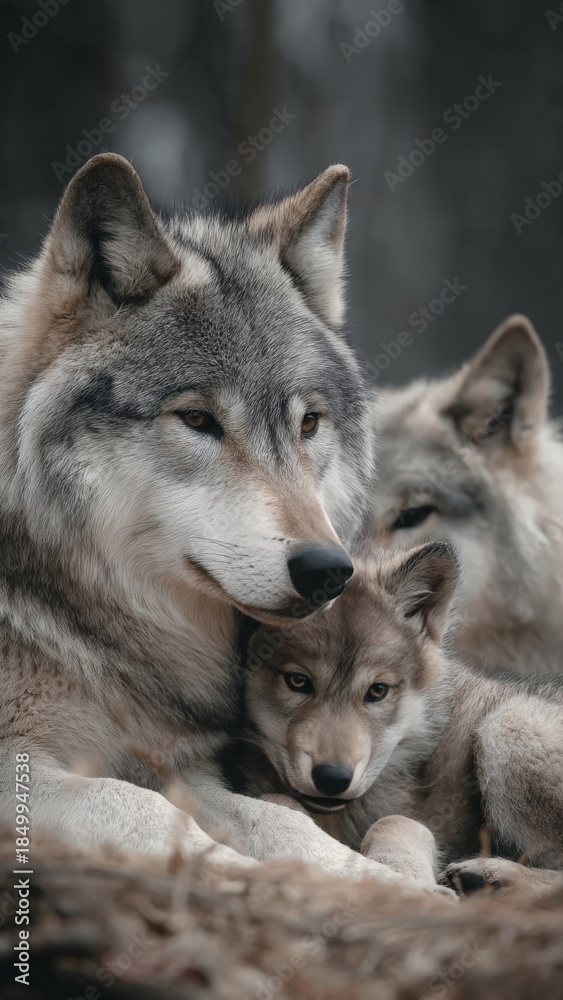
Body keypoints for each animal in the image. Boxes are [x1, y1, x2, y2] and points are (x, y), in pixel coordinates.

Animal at [0, 152, 411, 883]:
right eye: (197, 419)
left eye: (308, 423)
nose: (328, 570)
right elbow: (138, 810)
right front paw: (253, 883)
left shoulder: (179, 765)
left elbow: (281, 820)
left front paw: (385, 887)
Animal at [243, 541, 563, 894]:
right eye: (298, 681)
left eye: (377, 690)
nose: (333, 778)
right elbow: (277, 802)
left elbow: (394, 822)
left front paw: (404, 880)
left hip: (507, 724)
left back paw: (489, 875)